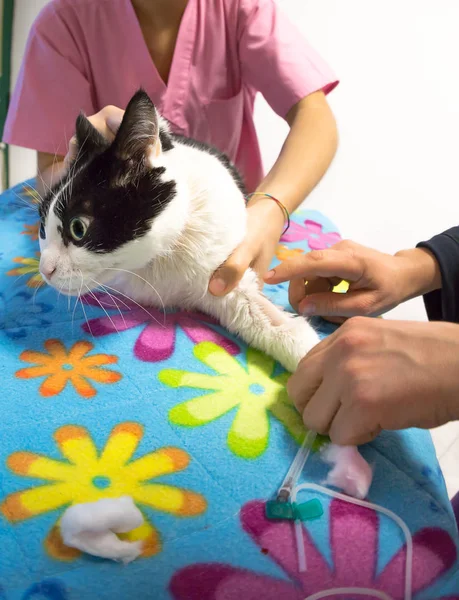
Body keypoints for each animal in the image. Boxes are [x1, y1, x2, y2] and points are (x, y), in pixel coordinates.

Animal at [38, 88, 320, 370]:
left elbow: (257, 312)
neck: (163, 257)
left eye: (78, 228)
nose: (45, 270)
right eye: (42, 225)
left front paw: (313, 355)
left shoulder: (219, 268)